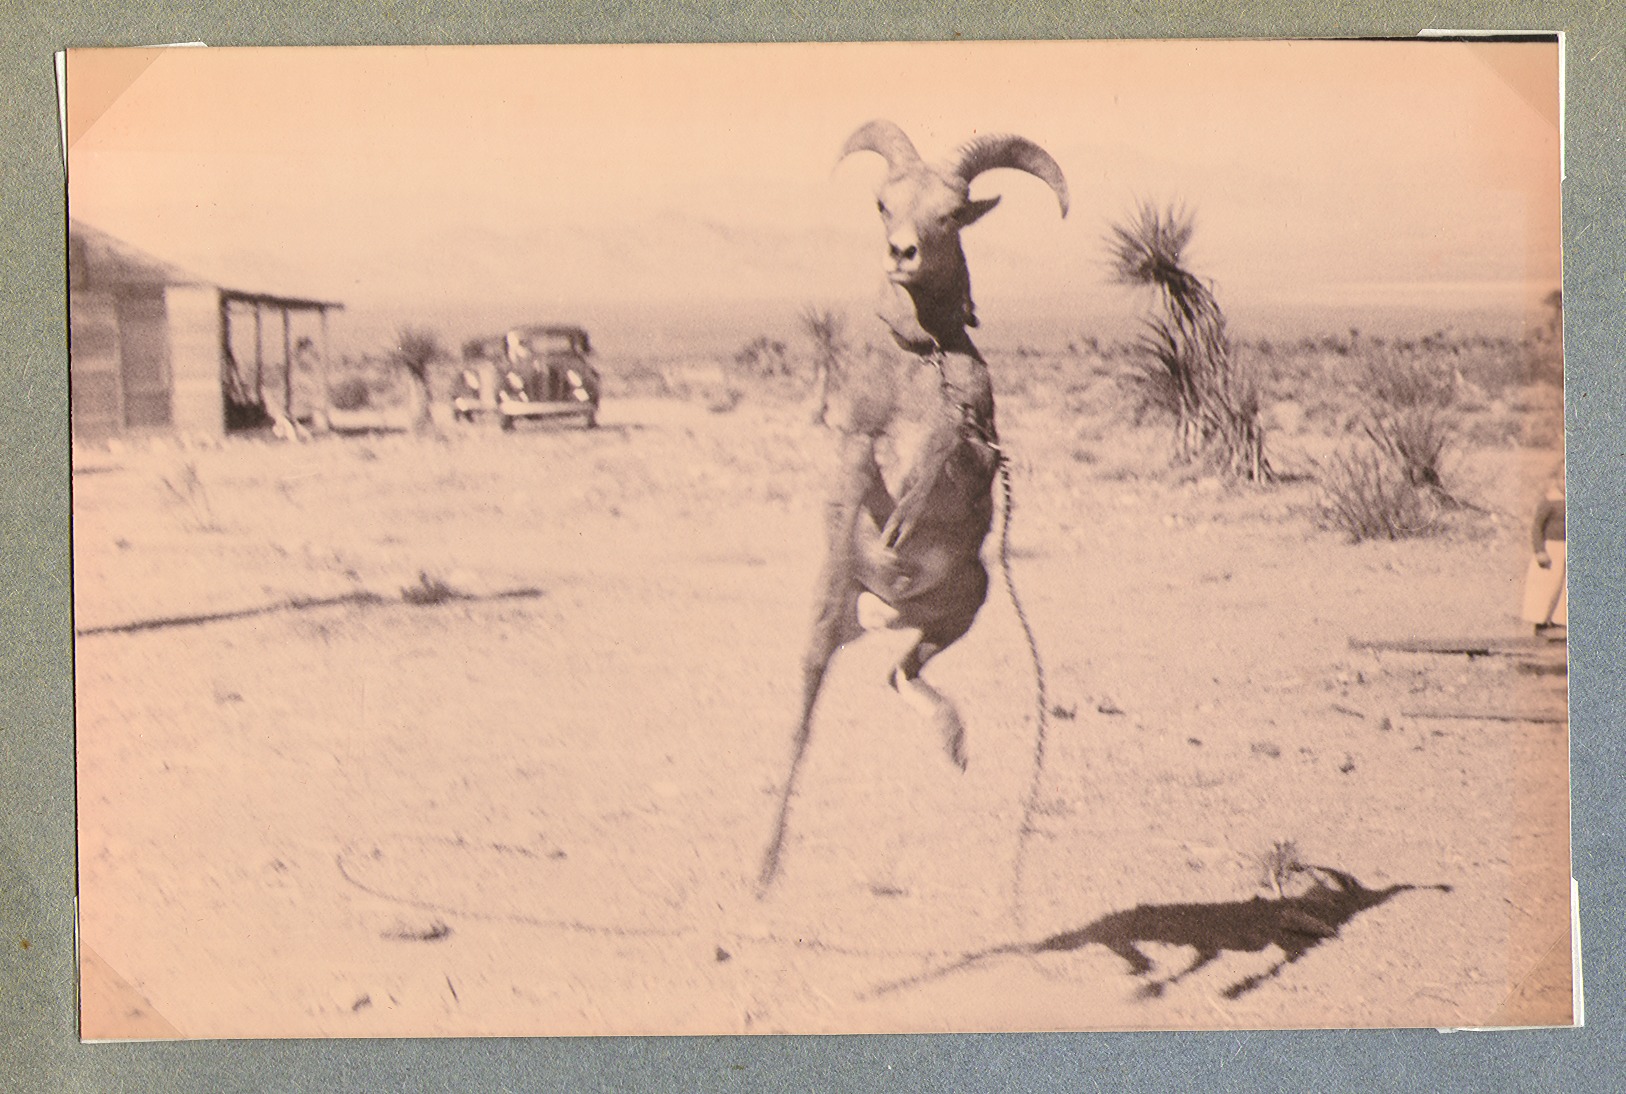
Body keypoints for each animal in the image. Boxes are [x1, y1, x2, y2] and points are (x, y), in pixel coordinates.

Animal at [758, 120, 1068, 890]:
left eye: (952, 213)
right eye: (881, 203)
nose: (902, 253)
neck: (920, 361)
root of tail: (882, 609)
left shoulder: (976, 445)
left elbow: (935, 452)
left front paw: (905, 518)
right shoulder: (856, 441)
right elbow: (868, 474)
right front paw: (889, 527)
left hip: (969, 600)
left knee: (900, 670)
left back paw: (954, 743)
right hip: (829, 624)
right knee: (805, 718)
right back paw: (764, 867)